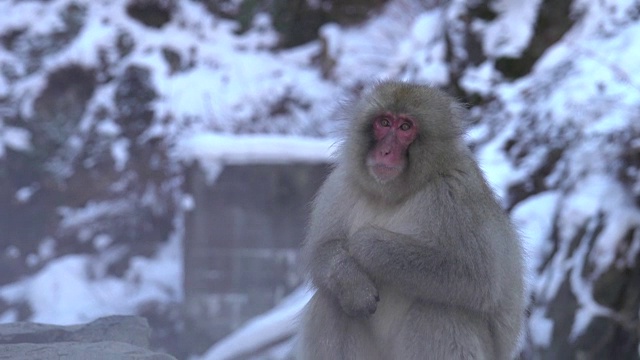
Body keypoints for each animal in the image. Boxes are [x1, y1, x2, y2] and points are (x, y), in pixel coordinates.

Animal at [298, 81, 524, 360]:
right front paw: (351, 282)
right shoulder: (340, 184)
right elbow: (322, 249)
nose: (385, 151)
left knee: (441, 310)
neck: (392, 194)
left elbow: (477, 277)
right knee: (331, 300)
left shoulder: (455, 194)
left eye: (406, 127)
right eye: (384, 122)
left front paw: (364, 244)